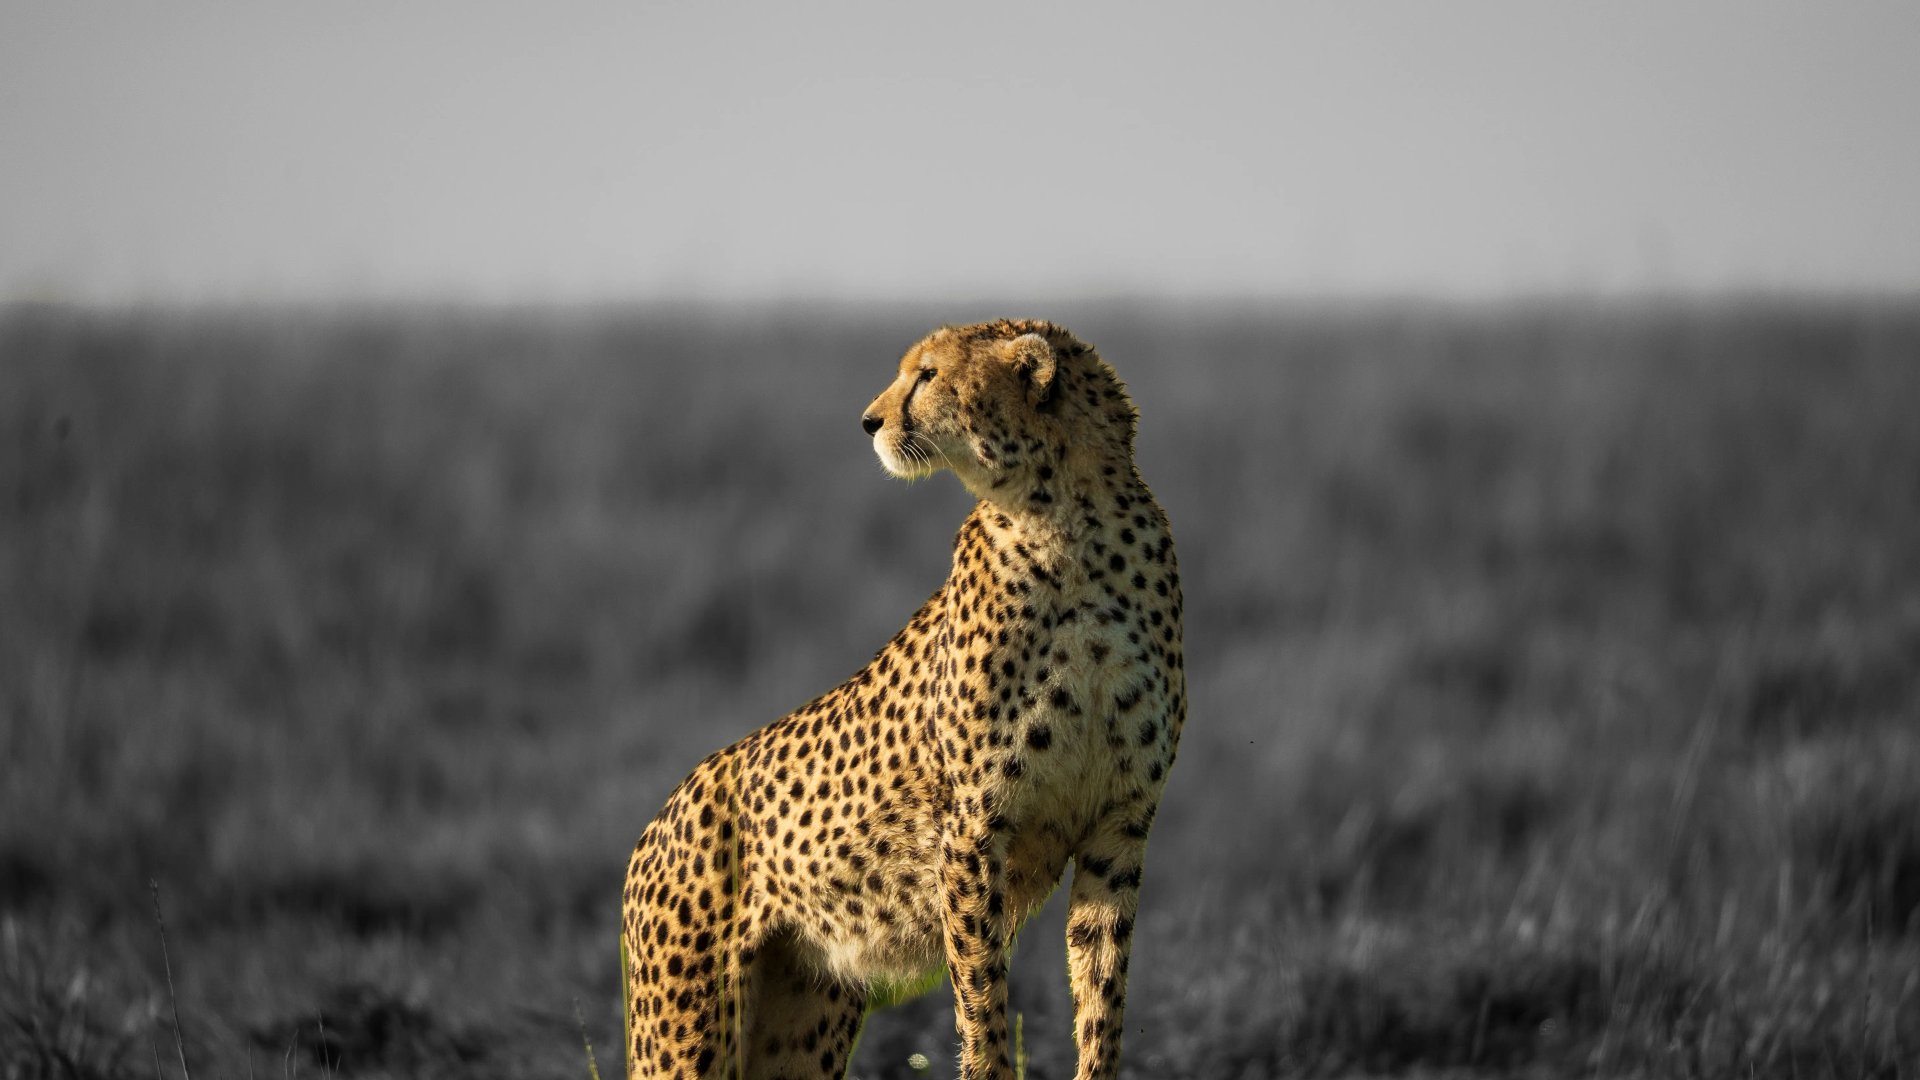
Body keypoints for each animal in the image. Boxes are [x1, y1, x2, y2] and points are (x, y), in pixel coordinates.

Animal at [621, 319, 1185, 1080]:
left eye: (929, 374)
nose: (868, 421)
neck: (1070, 526)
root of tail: (662, 817)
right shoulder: (974, 827)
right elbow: (981, 995)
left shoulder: (1118, 826)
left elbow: (1102, 994)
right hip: (685, 1029)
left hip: (802, 1022)